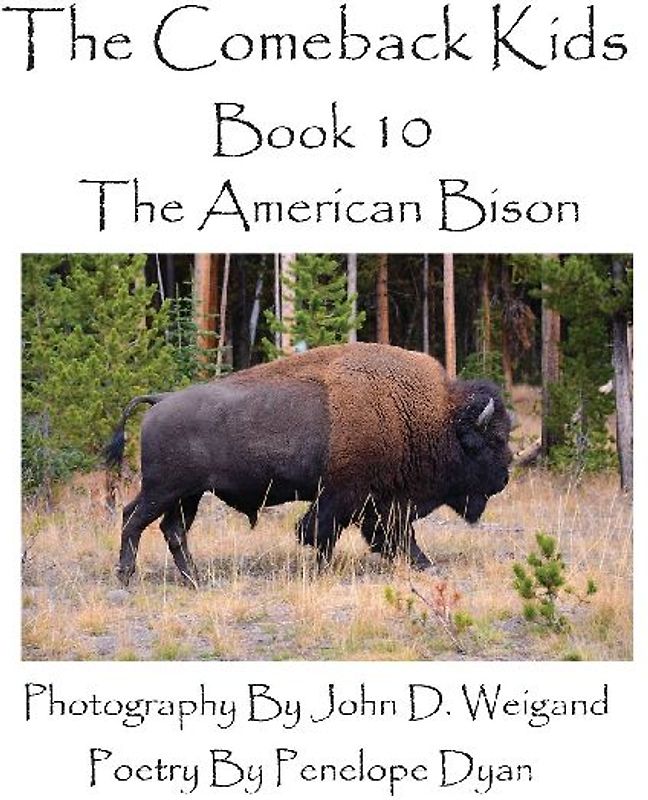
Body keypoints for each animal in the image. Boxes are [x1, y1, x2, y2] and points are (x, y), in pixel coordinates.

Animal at [105, 343, 511, 586]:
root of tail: (160, 400)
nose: (504, 478)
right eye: (494, 440)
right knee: (134, 520)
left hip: (187, 494)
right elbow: (328, 532)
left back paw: (195, 579)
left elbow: (383, 536)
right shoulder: (349, 496)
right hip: (165, 490)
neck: (430, 417)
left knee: (170, 529)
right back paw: (126, 576)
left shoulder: (372, 502)